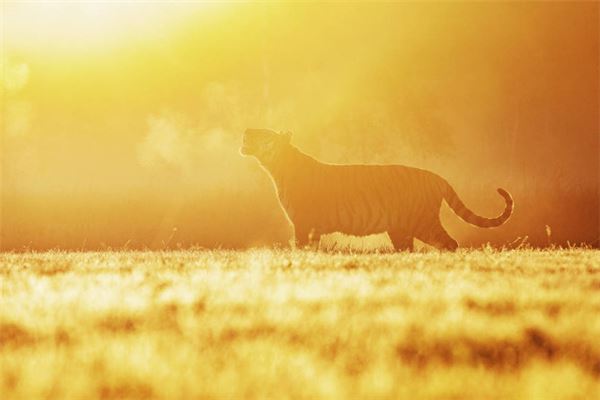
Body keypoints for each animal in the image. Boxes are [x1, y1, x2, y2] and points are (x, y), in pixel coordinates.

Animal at [241, 128, 512, 250]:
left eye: (264, 134)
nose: (247, 130)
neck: (276, 168)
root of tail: (437, 177)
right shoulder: (310, 227)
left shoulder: (304, 223)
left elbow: (301, 248)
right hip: (401, 230)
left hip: (423, 222)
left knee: (450, 243)